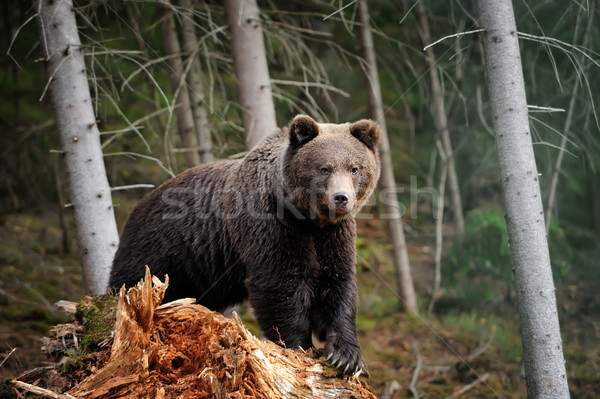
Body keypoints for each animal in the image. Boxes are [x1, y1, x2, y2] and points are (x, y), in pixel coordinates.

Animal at [108, 115, 380, 376]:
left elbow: (337, 283)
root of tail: (139, 205)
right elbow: (280, 284)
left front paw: (345, 356)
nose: (341, 198)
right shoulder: (271, 225)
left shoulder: (334, 235)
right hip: (160, 248)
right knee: (131, 279)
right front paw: (298, 346)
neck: (307, 217)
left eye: (355, 168)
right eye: (324, 168)